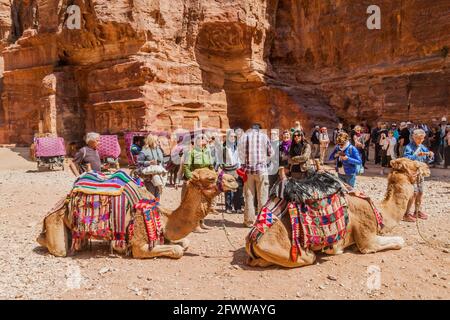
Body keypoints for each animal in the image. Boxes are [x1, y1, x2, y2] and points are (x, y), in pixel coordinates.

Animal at [37, 169, 239, 258]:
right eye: (210, 177)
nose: (234, 180)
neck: (164, 217)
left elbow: (184, 243)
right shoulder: (139, 244)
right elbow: (177, 250)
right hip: (55, 219)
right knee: (59, 248)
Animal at [248, 158, 430, 268]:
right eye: (415, 165)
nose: (428, 167)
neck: (380, 211)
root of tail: (252, 241)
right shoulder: (367, 238)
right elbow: (400, 241)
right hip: (294, 252)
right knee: (309, 257)